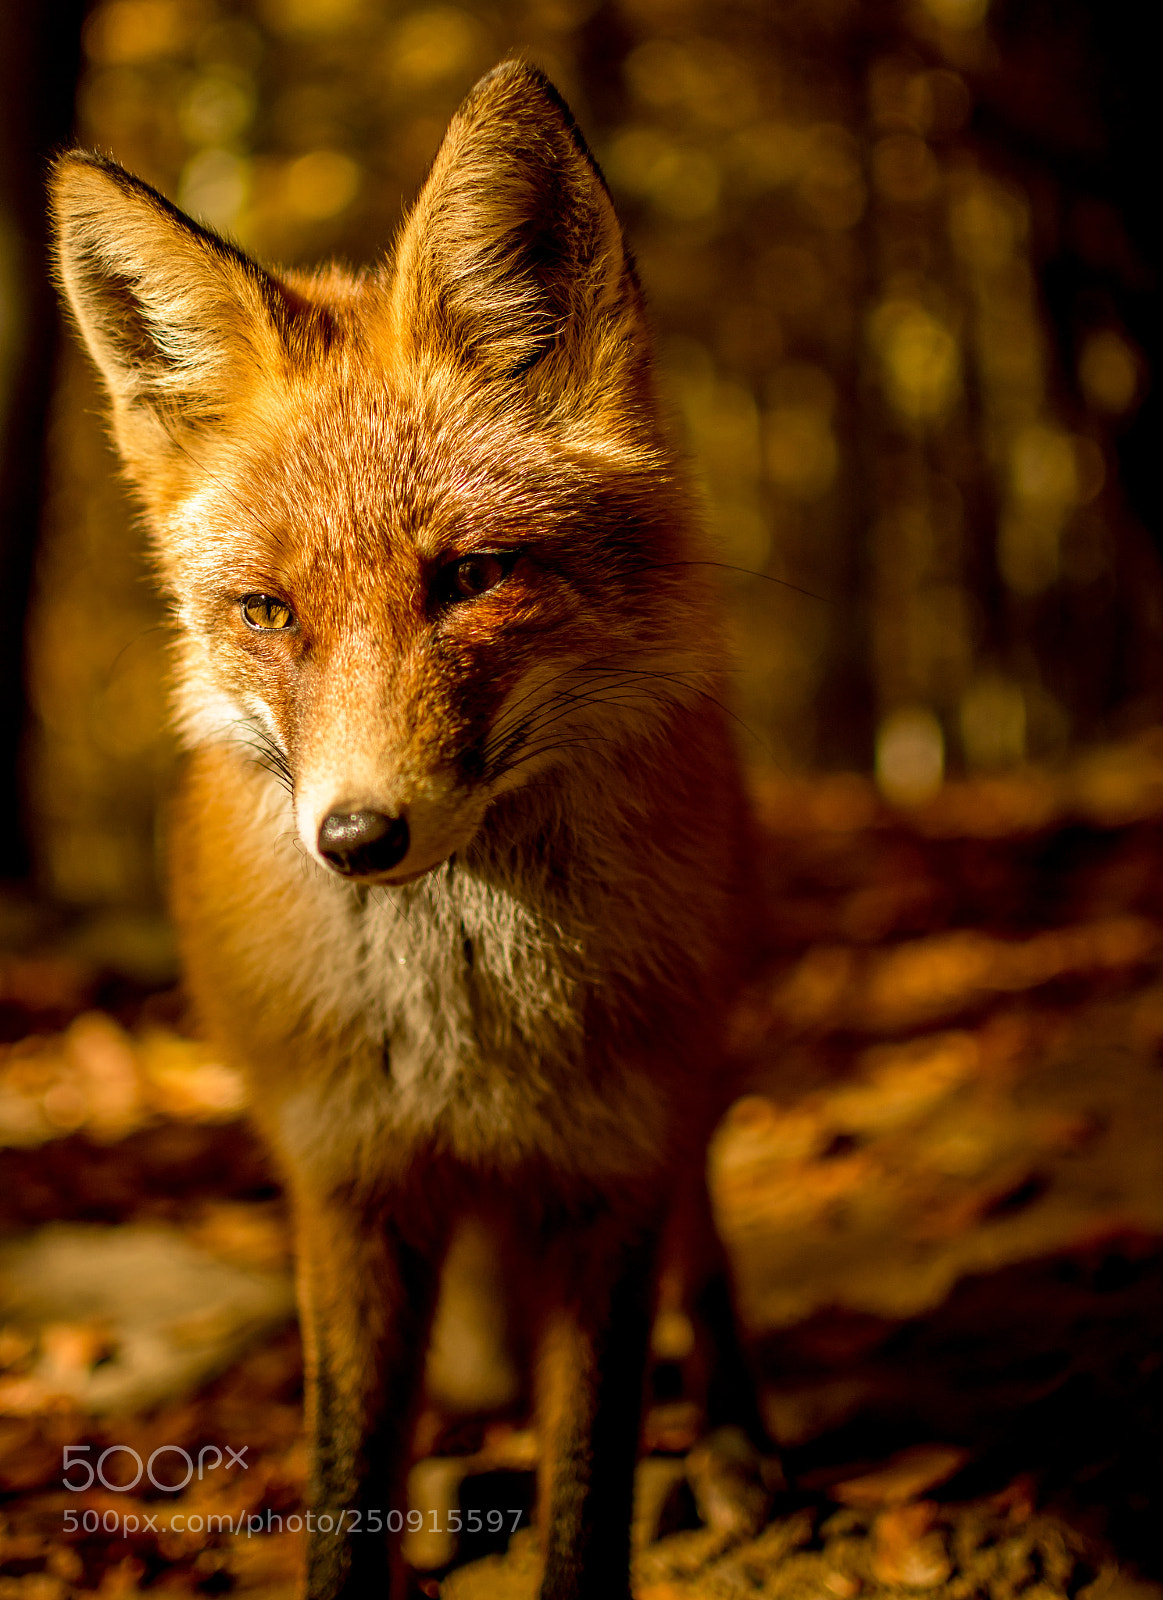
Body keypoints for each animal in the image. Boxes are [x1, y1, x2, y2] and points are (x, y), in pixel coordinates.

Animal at [51, 60, 757, 1600]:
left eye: (472, 577)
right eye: (266, 612)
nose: (358, 838)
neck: (462, 1029)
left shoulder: (608, 1171)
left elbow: (587, 1492)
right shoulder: (348, 1185)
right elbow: (344, 1484)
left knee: (708, 1246)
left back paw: (739, 1444)